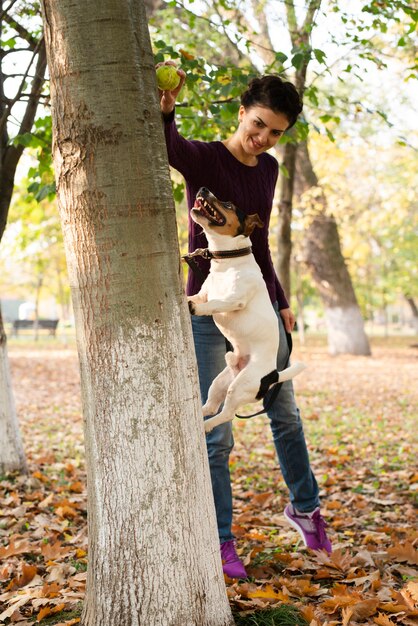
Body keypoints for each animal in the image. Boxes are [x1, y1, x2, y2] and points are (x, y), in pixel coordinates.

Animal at [188, 185, 306, 432]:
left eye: (229, 205)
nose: (203, 188)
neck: (227, 262)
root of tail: (272, 376)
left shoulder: (234, 299)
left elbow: (214, 304)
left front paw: (194, 308)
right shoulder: (204, 293)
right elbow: (199, 297)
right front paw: (186, 299)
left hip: (240, 386)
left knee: (226, 414)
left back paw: (206, 425)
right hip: (220, 382)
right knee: (211, 406)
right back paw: (200, 417)